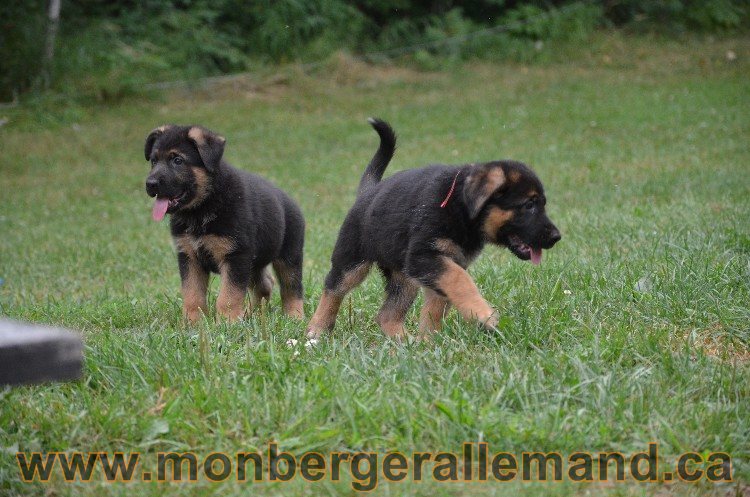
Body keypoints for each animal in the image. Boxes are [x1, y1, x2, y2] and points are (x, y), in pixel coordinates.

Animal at [144, 124, 306, 322]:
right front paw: (193, 323)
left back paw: (294, 316)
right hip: (255, 262)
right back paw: (251, 314)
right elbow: (192, 294)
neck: (203, 207)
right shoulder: (189, 256)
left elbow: (229, 295)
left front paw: (228, 322)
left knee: (292, 287)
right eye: (153, 161)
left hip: (288, 256)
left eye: (177, 160)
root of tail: (291, 201)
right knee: (264, 285)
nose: (150, 184)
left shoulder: (236, 256)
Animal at [308, 118, 560, 340]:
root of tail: (368, 191)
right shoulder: (426, 256)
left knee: (386, 316)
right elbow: (460, 281)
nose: (556, 237)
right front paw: (481, 314)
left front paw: (429, 342)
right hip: (352, 261)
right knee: (333, 288)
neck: (461, 206)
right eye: (529, 205)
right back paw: (316, 330)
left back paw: (405, 343)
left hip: (404, 278)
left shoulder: (441, 265)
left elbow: (436, 307)